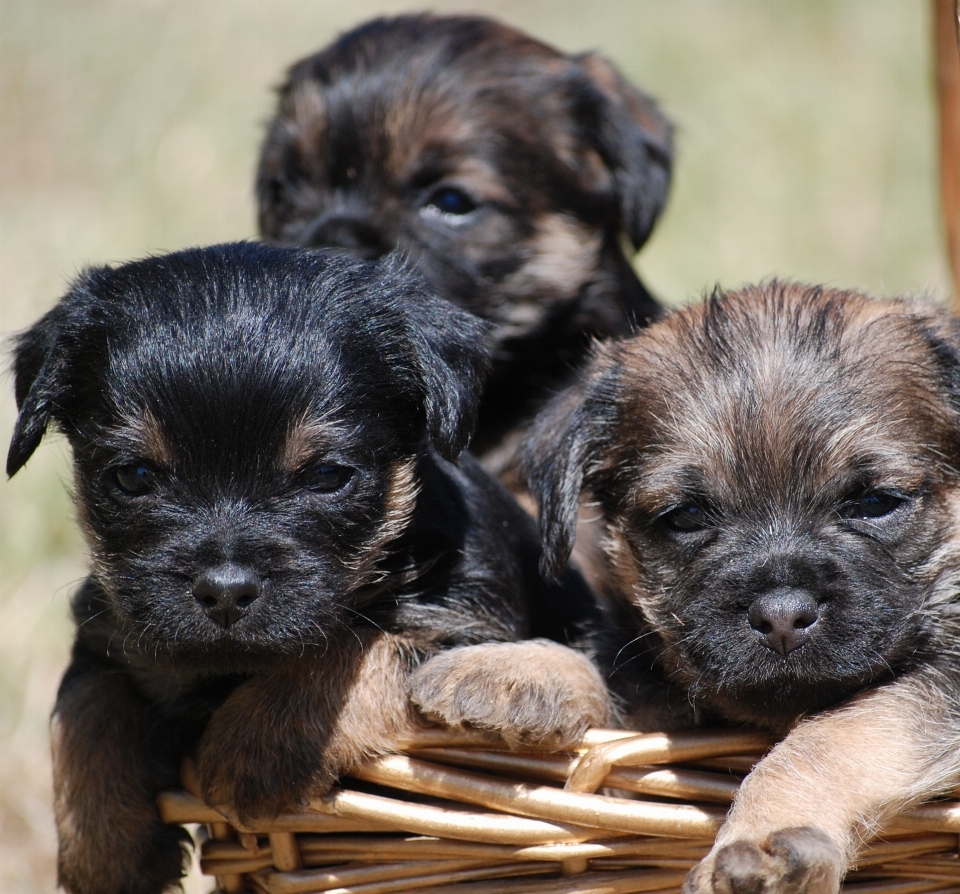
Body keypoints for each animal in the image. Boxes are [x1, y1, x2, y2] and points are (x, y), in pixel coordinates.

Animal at [7, 243, 612, 894]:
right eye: (133, 476)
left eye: (325, 476)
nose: (225, 590)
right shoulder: (111, 624)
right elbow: (84, 702)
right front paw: (104, 851)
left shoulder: (470, 624)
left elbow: (355, 648)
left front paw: (253, 748)